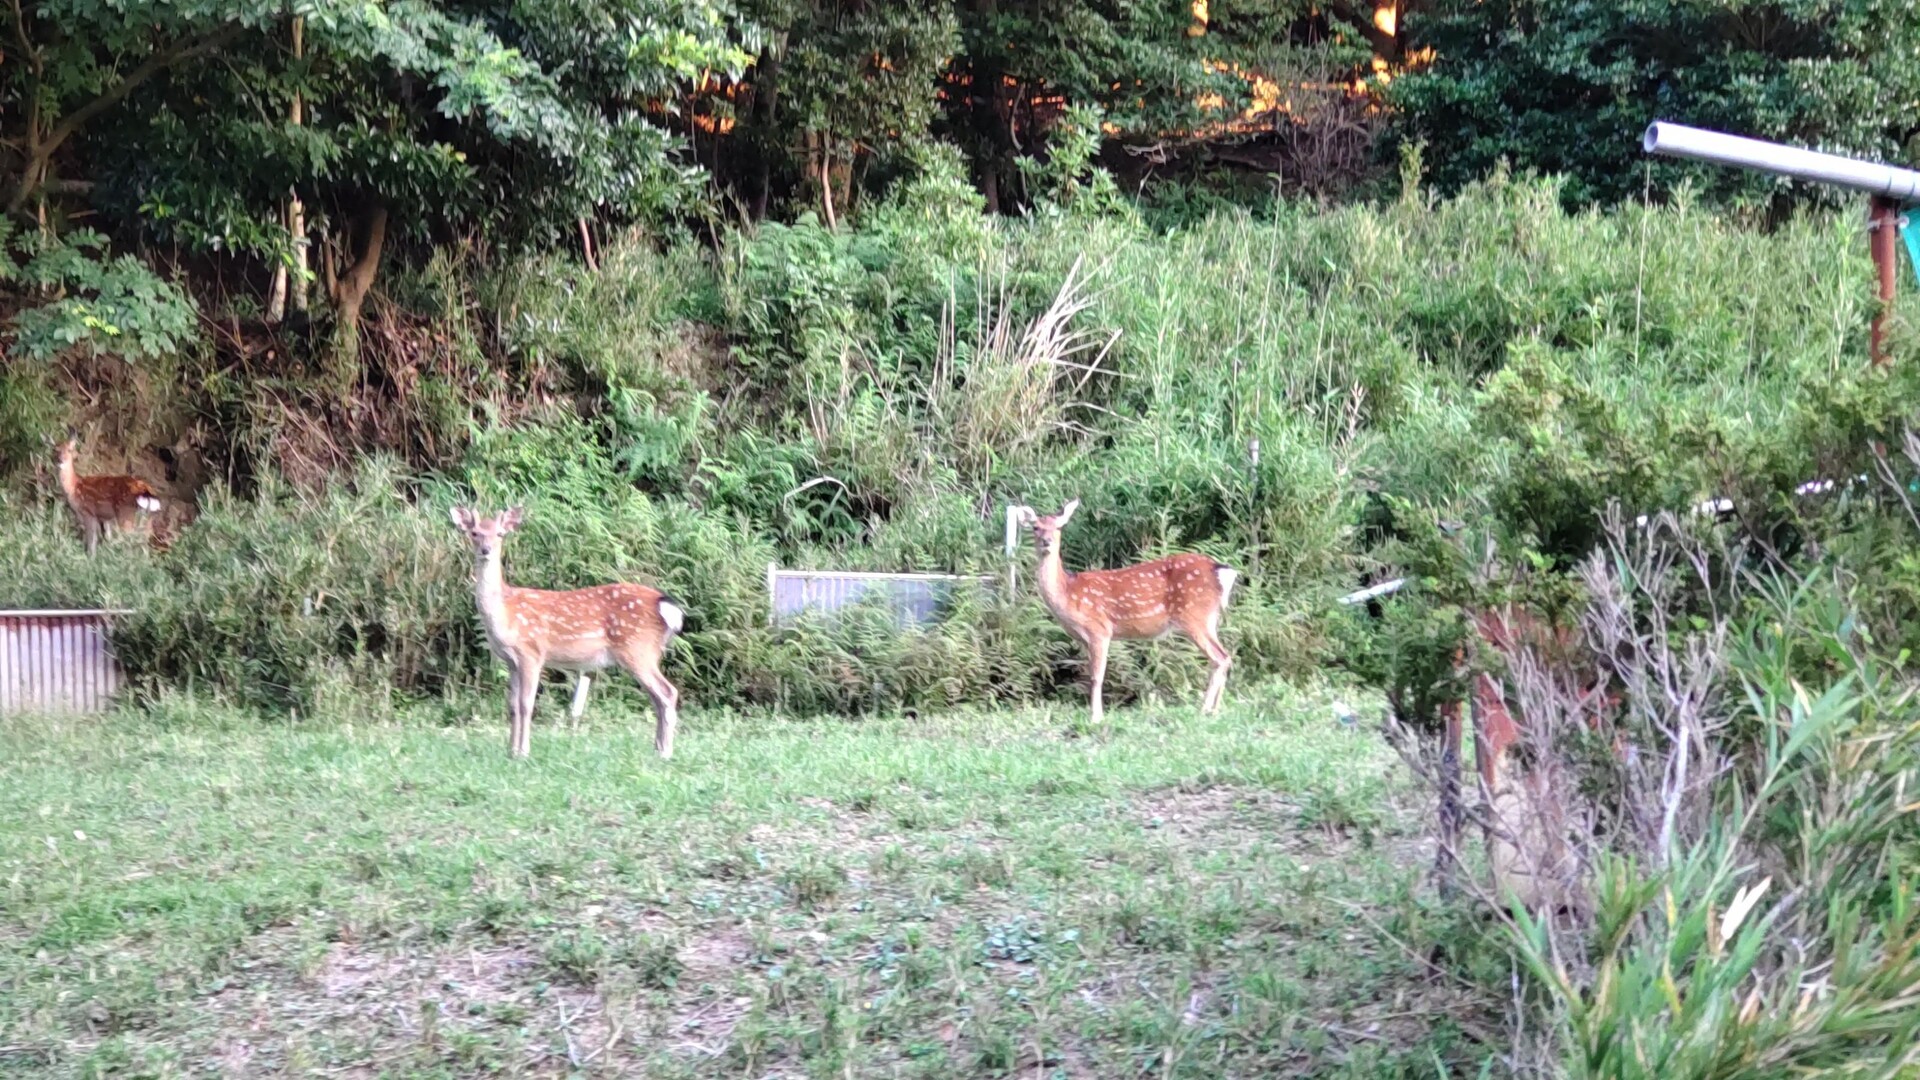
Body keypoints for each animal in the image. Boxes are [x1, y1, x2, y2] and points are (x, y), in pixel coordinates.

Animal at [450, 506, 685, 760]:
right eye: (474, 532)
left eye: (500, 533)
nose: (486, 550)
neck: (505, 613)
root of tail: (666, 606)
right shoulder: (511, 661)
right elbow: (512, 705)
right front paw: (511, 750)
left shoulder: (532, 652)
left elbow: (526, 704)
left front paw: (523, 751)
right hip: (645, 653)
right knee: (657, 698)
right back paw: (657, 749)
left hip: (637, 649)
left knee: (668, 692)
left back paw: (666, 752)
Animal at [1016, 499, 1237, 724]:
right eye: (1036, 527)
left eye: (1059, 527)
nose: (1047, 541)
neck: (1068, 593)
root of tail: (1221, 570)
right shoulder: (1085, 639)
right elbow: (1091, 675)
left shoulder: (1100, 629)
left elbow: (1097, 676)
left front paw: (1096, 716)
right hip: (1210, 618)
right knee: (1224, 657)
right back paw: (1215, 709)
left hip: (1194, 616)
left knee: (1219, 658)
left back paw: (1204, 709)